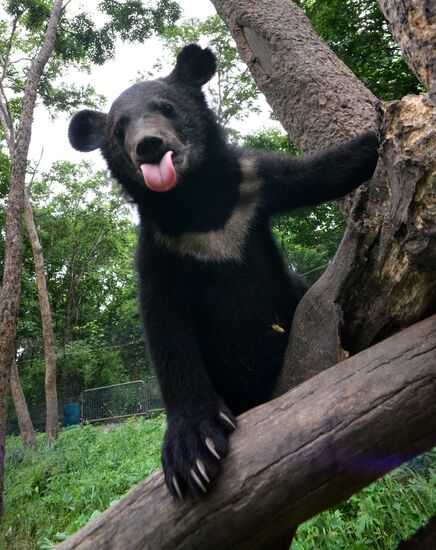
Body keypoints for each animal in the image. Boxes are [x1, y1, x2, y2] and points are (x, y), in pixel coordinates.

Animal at [68, 43, 378, 500]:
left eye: (168, 108)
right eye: (120, 129)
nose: (148, 145)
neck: (195, 204)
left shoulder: (255, 182)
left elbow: (324, 171)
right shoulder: (159, 249)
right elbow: (166, 328)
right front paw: (192, 450)